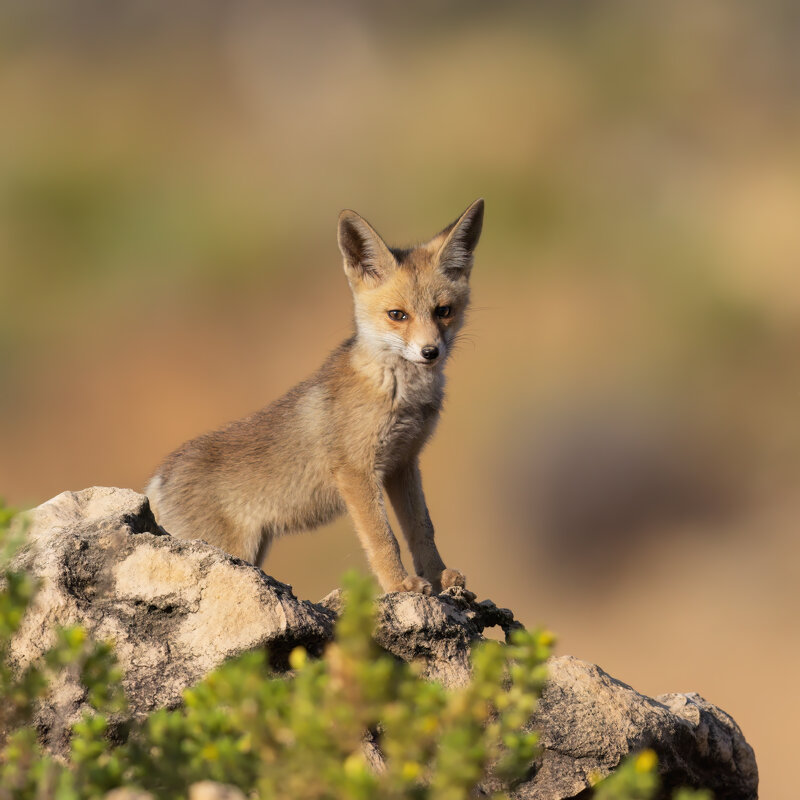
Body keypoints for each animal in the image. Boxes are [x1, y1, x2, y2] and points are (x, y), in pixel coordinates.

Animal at [145, 199, 484, 592]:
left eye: (443, 311)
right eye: (397, 315)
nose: (430, 352)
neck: (400, 394)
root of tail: (157, 480)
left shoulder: (403, 463)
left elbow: (422, 529)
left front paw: (439, 577)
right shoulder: (356, 472)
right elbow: (383, 538)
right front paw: (399, 586)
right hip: (234, 552)